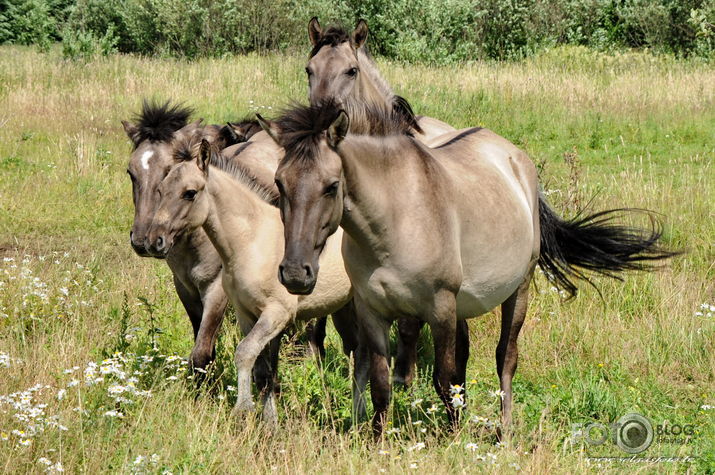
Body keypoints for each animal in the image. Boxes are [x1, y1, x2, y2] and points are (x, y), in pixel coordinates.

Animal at [149, 138, 366, 424]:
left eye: (190, 193)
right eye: (160, 190)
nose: (155, 240)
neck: (252, 240)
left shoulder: (277, 314)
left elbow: (245, 353)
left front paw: (243, 409)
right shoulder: (247, 315)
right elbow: (264, 372)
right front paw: (270, 423)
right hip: (344, 307)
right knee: (356, 350)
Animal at [260, 102, 680, 436]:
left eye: (331, 186)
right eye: (280, 182)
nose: (296, 273)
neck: (395, 219)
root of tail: (516, 159)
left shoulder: (440, 308)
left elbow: (444, 379)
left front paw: (453, 439)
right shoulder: (372, 312)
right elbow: (383, 384)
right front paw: (380, 441)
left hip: (517, 290)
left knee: (505, 358)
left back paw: (505, 430)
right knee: (463, 358)